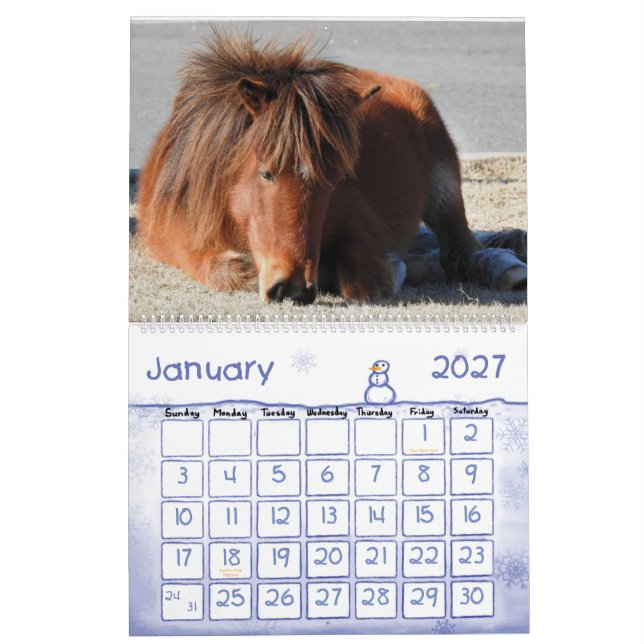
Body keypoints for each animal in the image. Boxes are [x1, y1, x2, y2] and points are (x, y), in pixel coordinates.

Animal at [137, 32, 483, 304]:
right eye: (266, 173)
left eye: (334, 182)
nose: (292, 289)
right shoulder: (174, 242)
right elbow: (230, 270)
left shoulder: (359, 218)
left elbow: (366, 280)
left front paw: (395, 268)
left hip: (445, 185)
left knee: (457, 248)